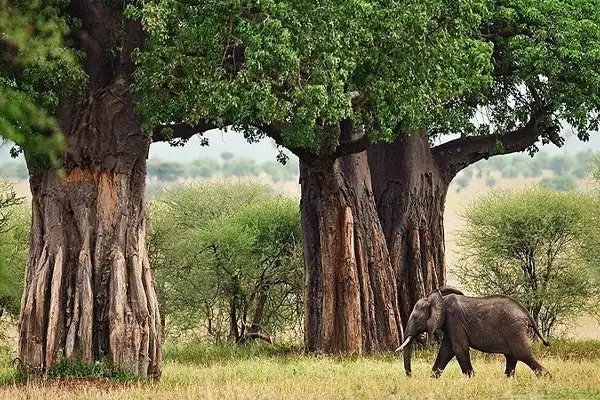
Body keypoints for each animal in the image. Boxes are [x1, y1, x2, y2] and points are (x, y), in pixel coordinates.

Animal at [396, 288, 552, 378]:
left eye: (415, 318)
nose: (410, 376)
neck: (440, 299)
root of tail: (527, 315)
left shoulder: (454, 320)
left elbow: (459, 349)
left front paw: (471, 379)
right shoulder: (450, 325)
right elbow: (446, 351)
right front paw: (433, 379)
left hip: (514, 330)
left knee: (523, 355)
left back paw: (547, 378)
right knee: (512, 357)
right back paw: (507, 380)